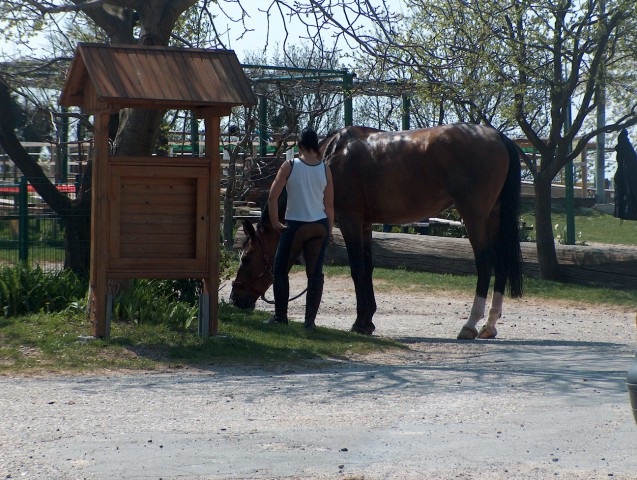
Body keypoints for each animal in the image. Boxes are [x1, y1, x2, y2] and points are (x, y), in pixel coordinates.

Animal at [231, 124, 520, 342]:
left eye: (246, 258)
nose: (235, 299)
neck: (332, 155)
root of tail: (498, 137)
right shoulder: (365, 224)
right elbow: (368, 268)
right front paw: (368, 320)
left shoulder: (350, 220)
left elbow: (357, 268)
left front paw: (359, 323)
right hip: (494, 216)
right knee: (502, 263)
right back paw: (489, 325)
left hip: (474, 217)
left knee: (485, 263)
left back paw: (470, 325)